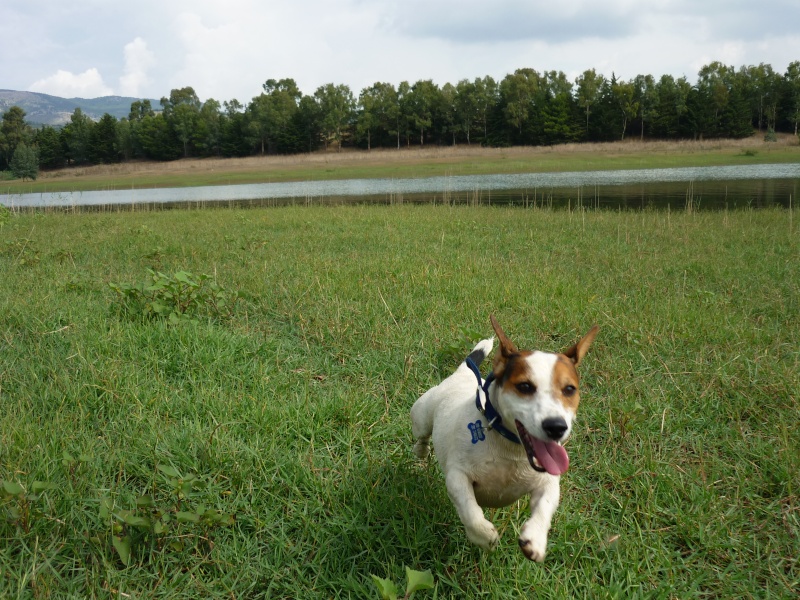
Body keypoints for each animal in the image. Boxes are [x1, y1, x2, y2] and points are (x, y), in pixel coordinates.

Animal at [416, 316, 596, 560]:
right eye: (525, 386)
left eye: (569, 389)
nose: (557, 426)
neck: (510, 449)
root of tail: (463, 375)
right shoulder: (457, 476)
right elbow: (470, 510)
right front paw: (484, 536)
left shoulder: (547, 482)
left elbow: (545, 505)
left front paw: (535, 538)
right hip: (421, 414)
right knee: (422, 434)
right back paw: (421, 449)